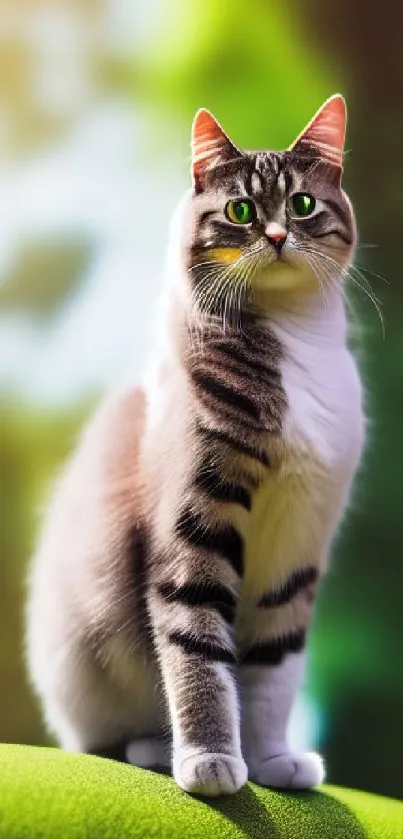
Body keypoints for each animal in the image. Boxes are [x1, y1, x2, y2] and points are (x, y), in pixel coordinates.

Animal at [26, 95, 366, 796]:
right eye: (240, 211)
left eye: (302, 204)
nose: (276, 235)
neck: (291, 340)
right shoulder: (194, 524)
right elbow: (200, 651)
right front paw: (211, 758)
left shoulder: (298, 541)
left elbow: (274, 668)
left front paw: (272, 759)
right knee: (107, 740)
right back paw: (158, 749)